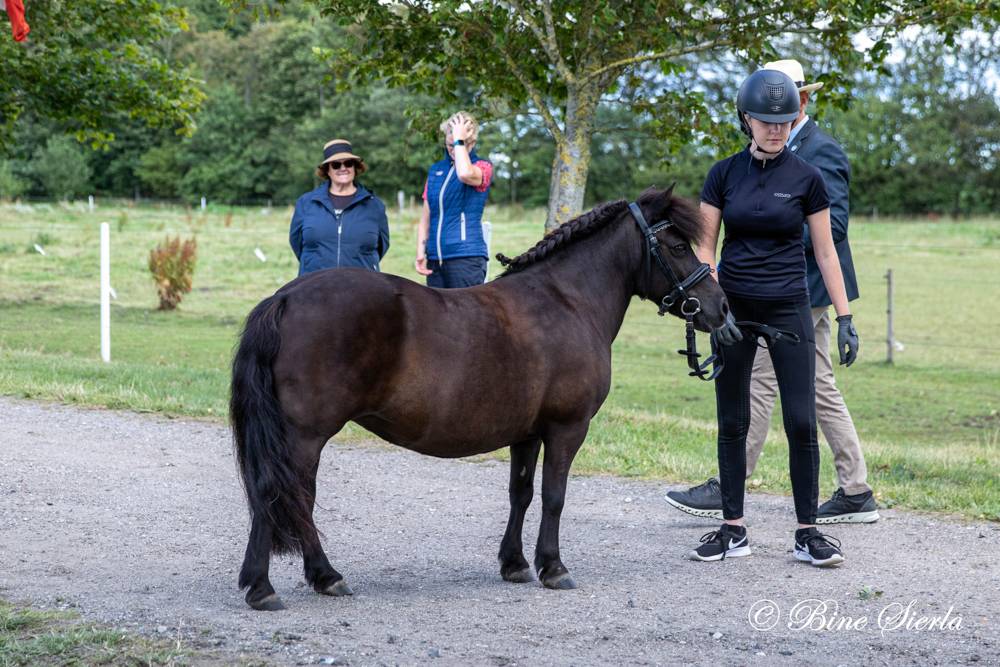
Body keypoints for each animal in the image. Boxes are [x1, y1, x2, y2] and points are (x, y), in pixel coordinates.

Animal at [230, 186, 731, 611]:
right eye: (679, 247)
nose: (721, 308)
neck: (567, 301)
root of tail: (286, 298)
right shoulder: (567, 428)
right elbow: (554, 496)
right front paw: (553, 567)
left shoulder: (527, 433)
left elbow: (521, 494)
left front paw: (515, 564)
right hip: (305, 436)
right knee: (281, 492)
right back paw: (280, 584)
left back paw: (300, 578)